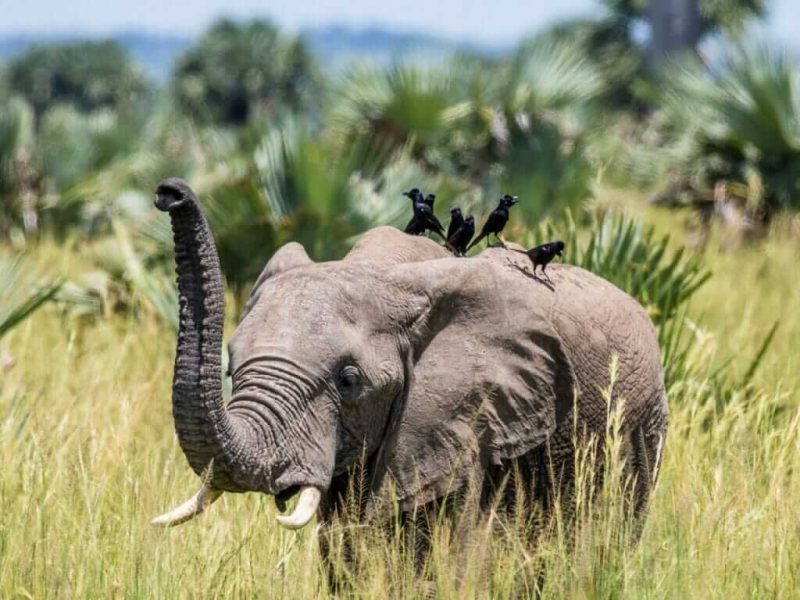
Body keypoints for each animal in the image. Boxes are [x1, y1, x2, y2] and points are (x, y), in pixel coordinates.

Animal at [150, 178, 668, 564]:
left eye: (349, 381)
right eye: (232, 369)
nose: (168, 193)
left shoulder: (462, 423)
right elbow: (345, 551)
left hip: (641, 429)